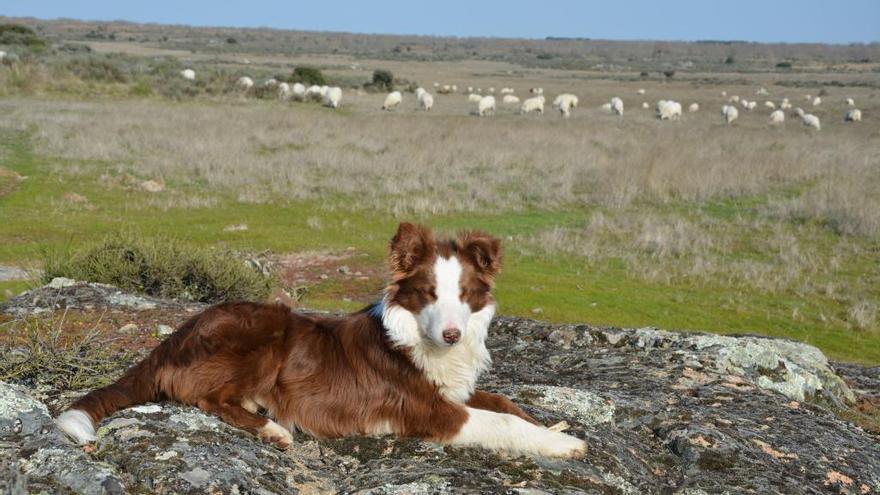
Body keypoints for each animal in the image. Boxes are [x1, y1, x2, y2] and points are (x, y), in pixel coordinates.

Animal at [58, 223, 588, 460]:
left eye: (465, 295)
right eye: (427, 294)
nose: (451, 334)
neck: (417, 340)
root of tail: (172, 339)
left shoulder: (451, 391)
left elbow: (505, 403)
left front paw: (550, 425)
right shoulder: (430, 411)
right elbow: (502, 421)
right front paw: (565, 442)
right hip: (267, 329)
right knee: (208, 397)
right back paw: (272, 428)